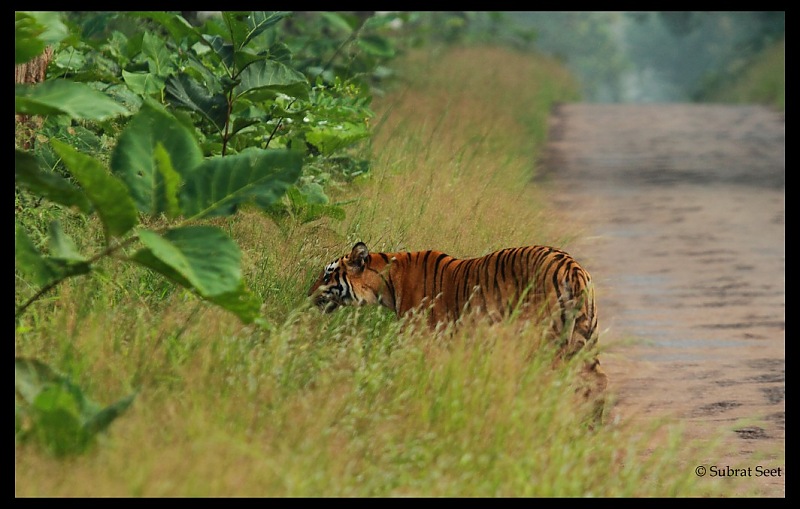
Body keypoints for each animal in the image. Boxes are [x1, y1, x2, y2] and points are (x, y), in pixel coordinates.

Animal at [306, 242, 608, 420]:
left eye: (327, 274)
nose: (307, 295)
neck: (387, 282)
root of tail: (571, 267)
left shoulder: (423, 340)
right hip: (586, 338)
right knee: (596, 382)